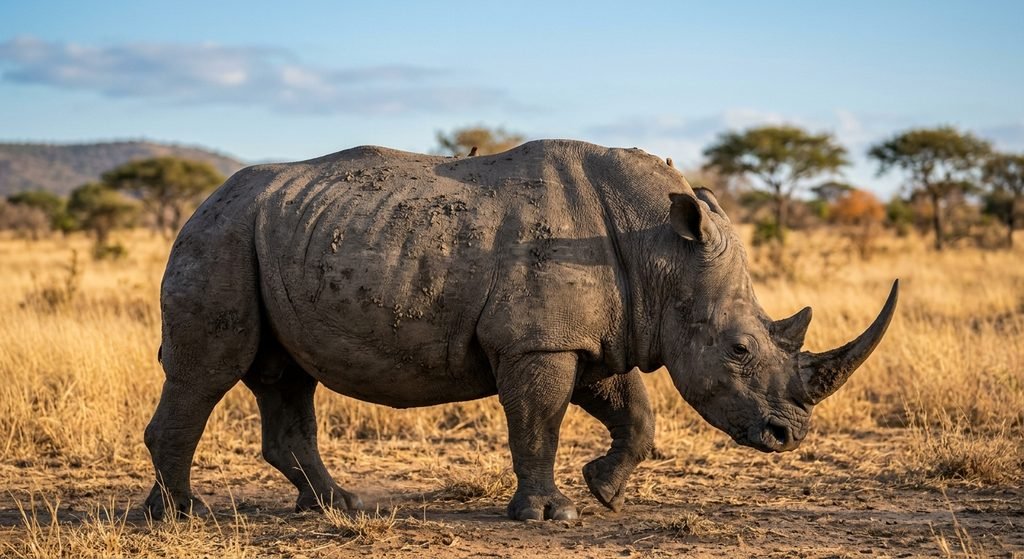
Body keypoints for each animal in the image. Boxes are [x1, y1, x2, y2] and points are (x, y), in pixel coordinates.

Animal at [144, 140, 897, 521]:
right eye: (740, 349)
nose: (788, 436)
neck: (662, 251)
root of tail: (203, 200)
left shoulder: (595, 335)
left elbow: (635, 411)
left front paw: (605, 491)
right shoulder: (538, 340)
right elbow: (538, 422)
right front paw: (549, 515)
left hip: (265, 234)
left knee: (285, 376)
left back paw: (338, 508)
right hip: (219, 236)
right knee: (207, 369)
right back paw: (185, 517)